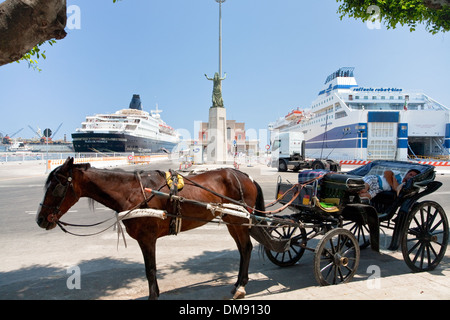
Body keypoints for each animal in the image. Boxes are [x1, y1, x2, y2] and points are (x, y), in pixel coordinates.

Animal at [37, 158, 268, 300]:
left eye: (56, 187)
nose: (40, 219)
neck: (133, 192)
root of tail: (245, 176)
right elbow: (149, 270)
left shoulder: (147, 238)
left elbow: (150, 270)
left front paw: (153, 295)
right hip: (233, 220)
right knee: (243, 249)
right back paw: (237, 283)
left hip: (238, 219)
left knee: (246, 248)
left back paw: (241, 286)